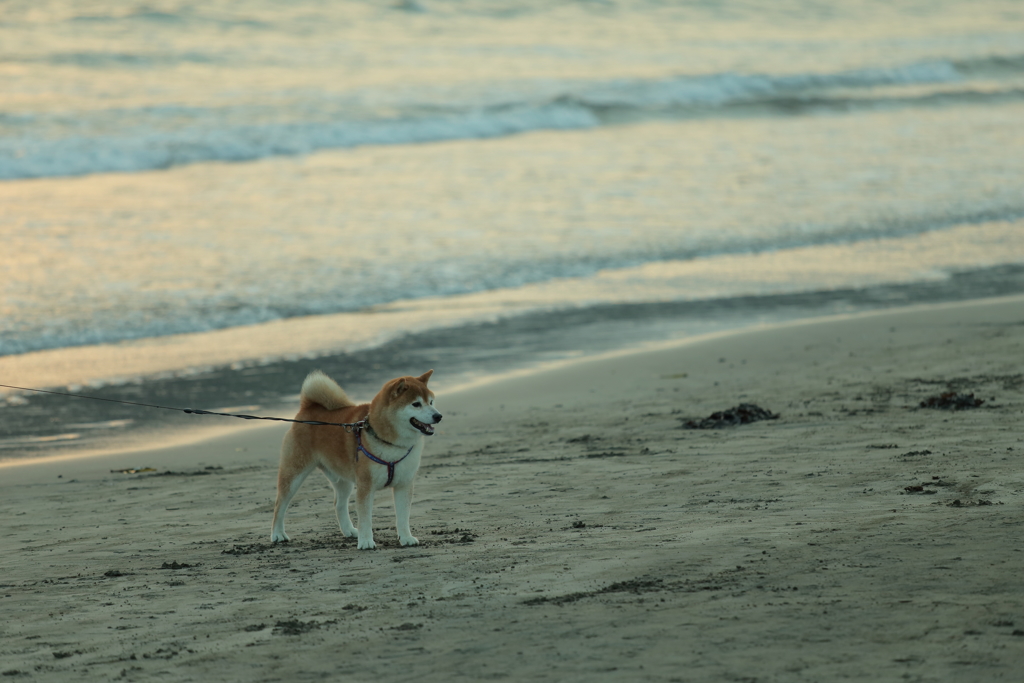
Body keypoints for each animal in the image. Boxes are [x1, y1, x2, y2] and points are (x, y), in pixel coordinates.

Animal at [268, 368, 440, 548]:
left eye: (431, 402)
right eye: (416, 404)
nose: (438, 416)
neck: (391, 443)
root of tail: (308, 408)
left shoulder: (404, 484)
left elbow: (403, 516)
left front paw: (406, 538)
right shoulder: (366, 485)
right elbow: (365, 518)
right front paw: (366, 542)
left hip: (342, 480)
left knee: (339, 505)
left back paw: (349, 530)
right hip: (294, 473)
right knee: (280, 504)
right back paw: (278, 534)